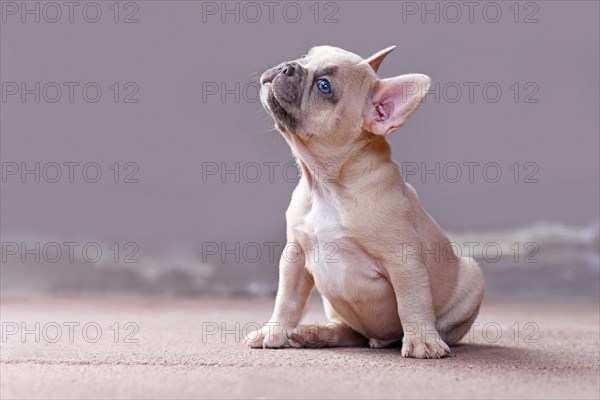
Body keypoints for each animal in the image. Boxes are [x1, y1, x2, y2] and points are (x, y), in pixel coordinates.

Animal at [246, 45, 486, 358]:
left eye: (324, 86)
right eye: (306, 56)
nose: (288, 66)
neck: (328, 186)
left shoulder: (404, 261)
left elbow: (413, 302)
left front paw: (422, 341)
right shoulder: (294, 257)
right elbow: (286, 300)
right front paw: (274, 331)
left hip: (471, 278)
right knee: (349, 330)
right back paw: (316, 333)